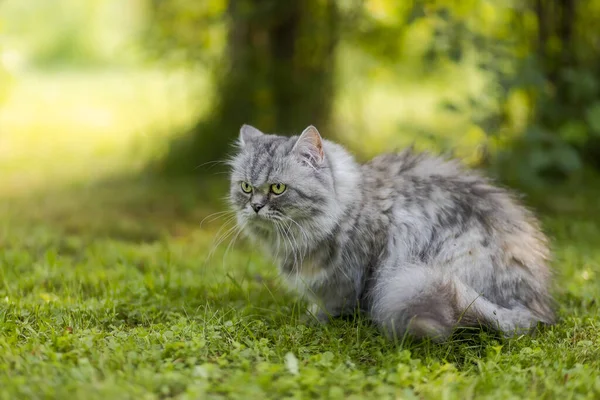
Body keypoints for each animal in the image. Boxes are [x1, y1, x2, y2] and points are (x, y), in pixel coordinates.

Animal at [227, 124, 556, 340]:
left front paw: (315, 318)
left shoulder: (351, 275)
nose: (255, 206)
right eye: (246, 187)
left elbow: (335, 303)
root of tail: (534, 305)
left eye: (277, 188)